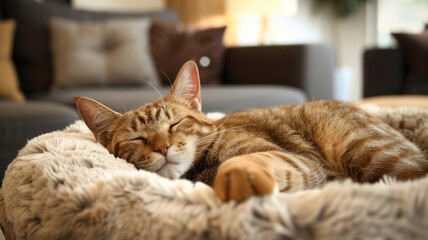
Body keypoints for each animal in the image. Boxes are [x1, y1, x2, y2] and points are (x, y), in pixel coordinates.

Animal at [75, 61, 428, 202]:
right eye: (136, 138)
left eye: (174, 123)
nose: (162, 147)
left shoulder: (299, 161)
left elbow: (246, 163)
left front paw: (237, 178)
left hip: (368, 152)